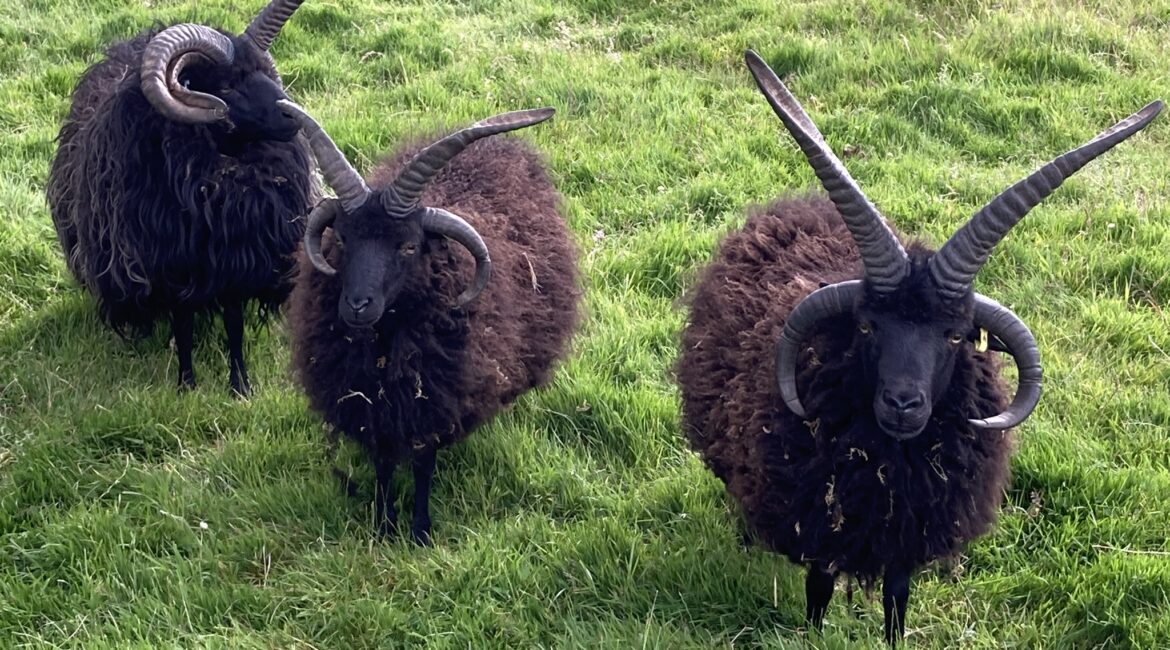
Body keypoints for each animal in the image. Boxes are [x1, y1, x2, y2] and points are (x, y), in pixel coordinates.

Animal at [46, 0, 313, 396]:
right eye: (227, 86)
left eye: (264, 71)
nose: (293, 116)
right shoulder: (172, 272)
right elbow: (183, 328)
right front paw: (186, 384)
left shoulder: (237, 265)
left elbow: (234, 325)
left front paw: (240, 387)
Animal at [282, 101, 581, 544]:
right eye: (345, 238)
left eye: (408, 246)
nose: (356, 305)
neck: (387, 342)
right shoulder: (371, 406)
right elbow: (383, 462)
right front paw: (384, 524)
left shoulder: (432, 402)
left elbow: (423, 463)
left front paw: (420, 531)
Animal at [675, 50, 1163, 645]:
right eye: (867, 327)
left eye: (954, 334)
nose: (902, 404)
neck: (892, 460)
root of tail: (796, 205)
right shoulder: (822, 522)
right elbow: (817, 593)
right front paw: (812, 635)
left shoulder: (908, 532)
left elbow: (897, 599)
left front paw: (891, 639)